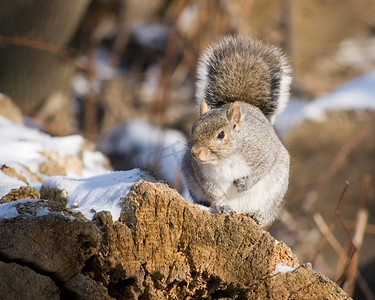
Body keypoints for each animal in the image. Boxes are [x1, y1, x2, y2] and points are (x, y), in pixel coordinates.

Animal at [182, 35, 294, 226]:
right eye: (193, 128)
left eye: (221, 135)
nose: (195, 153)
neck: (226, 160)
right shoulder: (201, 175)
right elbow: (214, 193)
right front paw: (222, 206)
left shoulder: (263, 150)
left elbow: (263, 167)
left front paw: (245, 184)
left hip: (275, 192)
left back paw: (259, 216)